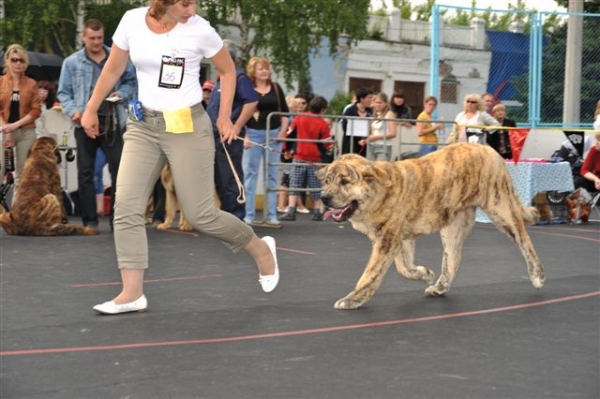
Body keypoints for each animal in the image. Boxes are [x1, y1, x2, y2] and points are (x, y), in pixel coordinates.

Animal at [318, 142, 544, 310]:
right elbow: (404, 268)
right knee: (453, 259)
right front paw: (424, 273)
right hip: (452, 227)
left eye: (344, 181)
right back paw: (440, 287)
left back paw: (537, 275)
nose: (324, 197)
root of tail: (488, 148)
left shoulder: (387, 240)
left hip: (501, 210)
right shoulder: (400, 239)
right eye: (327, 181)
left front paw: (352, 299)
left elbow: (370, 274)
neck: (378, 193)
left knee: (525, 241)